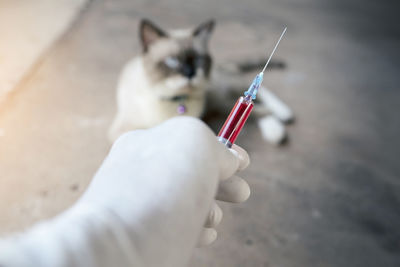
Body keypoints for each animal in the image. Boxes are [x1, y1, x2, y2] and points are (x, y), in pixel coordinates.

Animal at [109, 19, 294, 144]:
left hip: (221, 96)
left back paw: (281, 119)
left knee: (260, 100)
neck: (177, 102)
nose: (190, 73)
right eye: (172, 61)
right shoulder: (121, 131)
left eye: (198, 59)